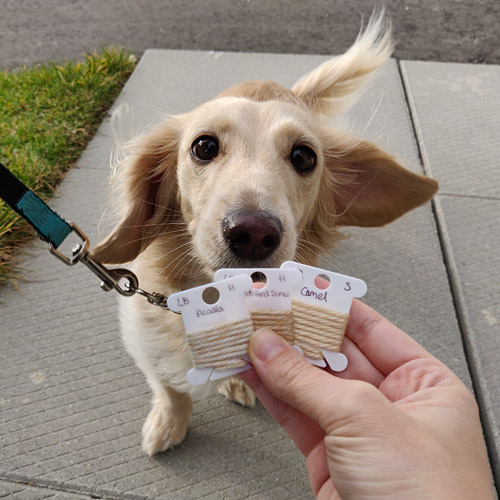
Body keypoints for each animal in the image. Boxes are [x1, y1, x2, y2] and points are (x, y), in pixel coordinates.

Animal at [91, 13, 438, 456]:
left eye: (304, 156)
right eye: (204, 146)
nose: (253, 233)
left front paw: (234, 381)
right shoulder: (145, 339)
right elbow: (171, 389)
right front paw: (169, 423)